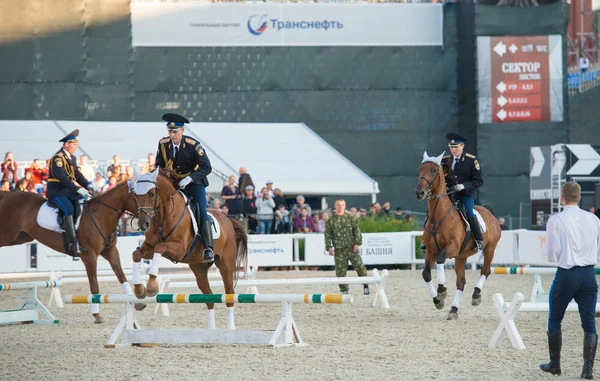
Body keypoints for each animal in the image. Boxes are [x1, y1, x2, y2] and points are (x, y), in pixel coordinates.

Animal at [0, 183, 149, 322]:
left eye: (151, 195)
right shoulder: (89, 256)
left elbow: (122, 277)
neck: (101, 216)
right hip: (7, 235)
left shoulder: (111, 252)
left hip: (20, 237)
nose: (146, 223)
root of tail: (7, 195)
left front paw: (136, 302)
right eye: (137, 196)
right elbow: (94, 286)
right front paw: (97, 315)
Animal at [128, 168, 246, 328]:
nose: (143, 224)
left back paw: (230, 328)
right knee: (209, 297)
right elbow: (136, 254)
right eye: (135, 194)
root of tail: (227, 219)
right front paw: (139, 289)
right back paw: (212, 329)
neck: (163, 215)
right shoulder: (149, 248)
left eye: (152, 194)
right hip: (199, 268)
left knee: (229, 294)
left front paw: (152, 286)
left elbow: (159, 247)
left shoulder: (179, 249)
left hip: (226, 264)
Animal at [412, 151, 502, 318]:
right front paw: (438, 300)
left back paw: (476, 295)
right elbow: (426, 274)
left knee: (485, 270)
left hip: (489, 249)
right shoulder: (430, 250)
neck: (439, 217)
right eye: (420, 170)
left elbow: (441, 260)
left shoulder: (452, 247)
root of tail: (489, 213)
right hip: (461, 257)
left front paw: (441, 290)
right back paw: (453, 310)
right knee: (461, 282)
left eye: (433, 171)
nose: (419, 192)